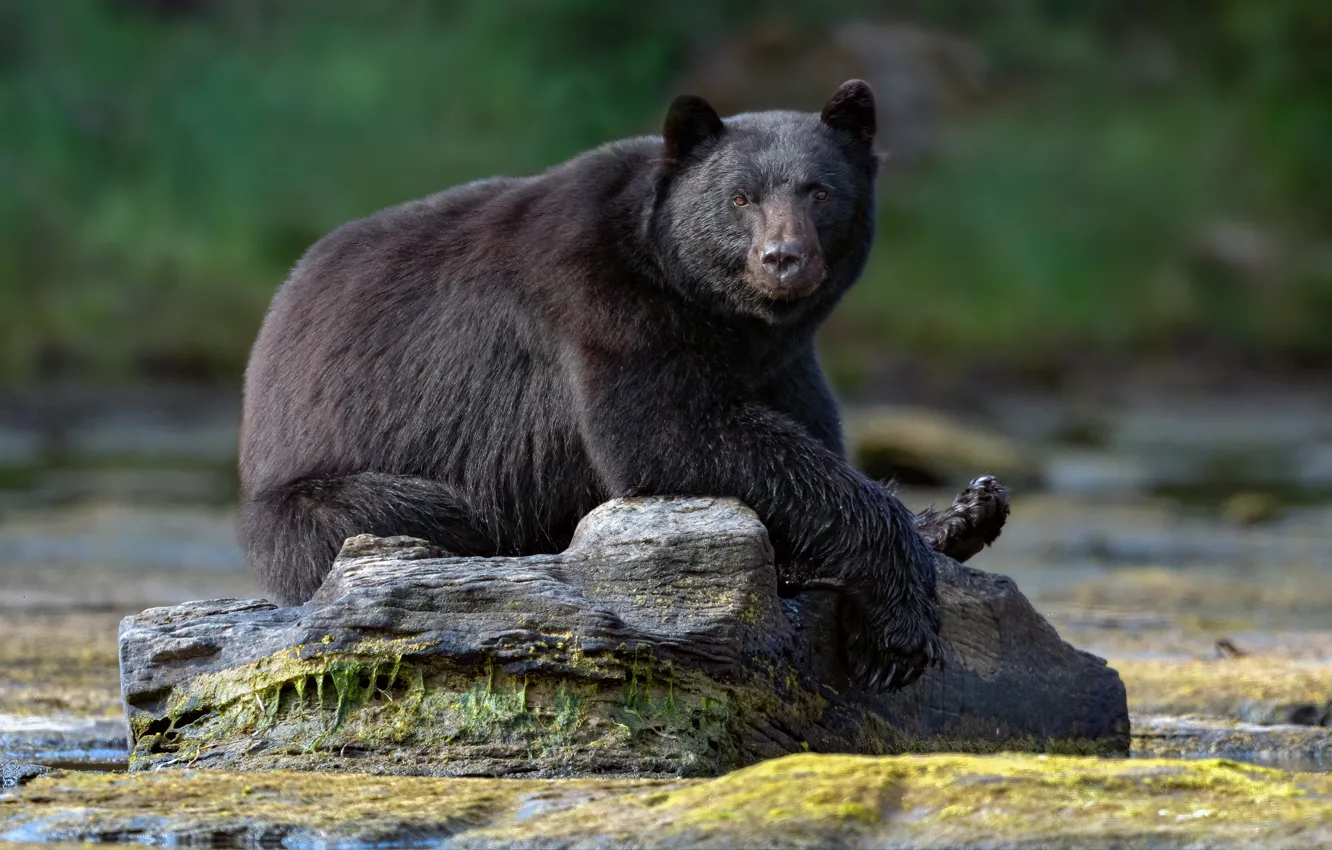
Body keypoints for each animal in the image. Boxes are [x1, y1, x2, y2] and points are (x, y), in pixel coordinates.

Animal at [242, 78, 1006, 692]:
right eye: (740, 197)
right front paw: (897, 625)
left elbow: (804, 435)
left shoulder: (785, 362)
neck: (722, 315)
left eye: (820, 191)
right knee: (408, 515)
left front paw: (958, 514)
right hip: (311, 493)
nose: (782, 258)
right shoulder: (607, 306)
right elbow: (665, 437)